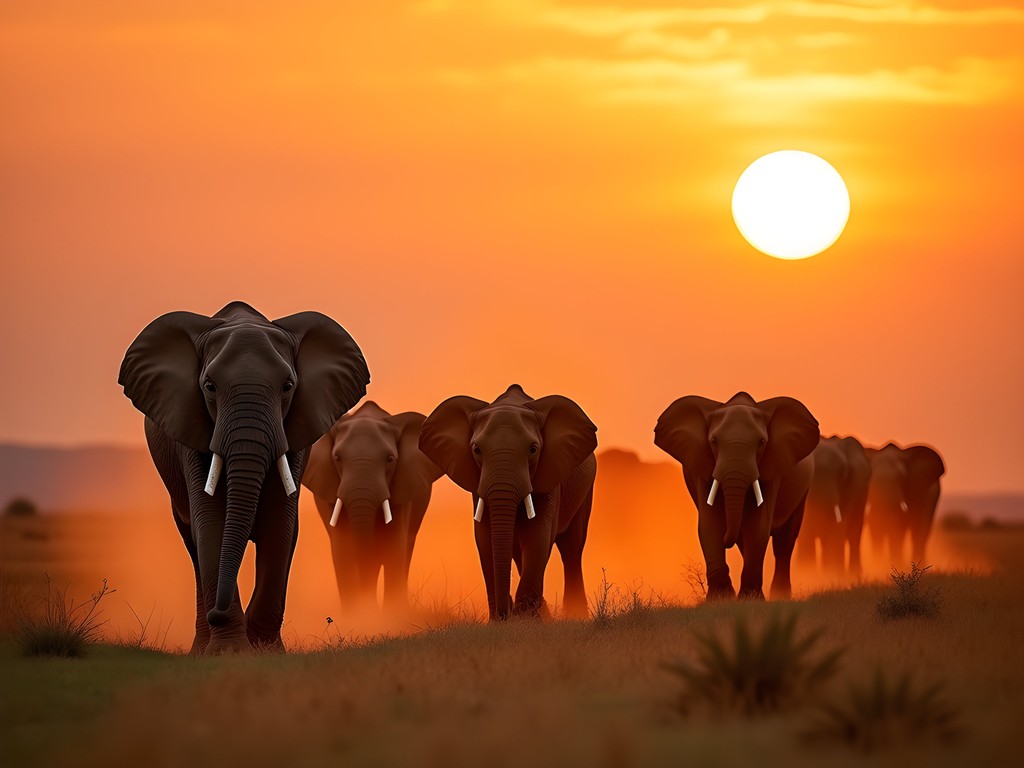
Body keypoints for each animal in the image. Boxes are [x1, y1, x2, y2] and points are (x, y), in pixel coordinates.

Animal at [118, 302, 369, 654]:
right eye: (209, 386)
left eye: (287, 386)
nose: (217, 613)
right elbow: (210, 522)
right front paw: (230, 652)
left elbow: (280, 524)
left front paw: (265, 650)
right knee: (192, 543)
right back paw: (201, 649)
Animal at [302, 401, 442, 616]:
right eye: (337, 458)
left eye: (390, 459)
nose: (368, 607)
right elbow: (343, 547)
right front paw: (356, 617)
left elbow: (393, 545)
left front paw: (389, 617)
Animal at [419, 384, 598, 620]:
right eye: (476, 450)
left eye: (533, 449)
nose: (507, 611)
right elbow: (484, 539)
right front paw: (503, 621)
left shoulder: (550, 472)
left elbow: (538, 535)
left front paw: (527, 621)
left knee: (572, 548)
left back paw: (573, 616)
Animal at [654, 392, 819, 600]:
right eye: (714, 442)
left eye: (762, 442)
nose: (727, 541)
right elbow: (709, 524)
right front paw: (720, 599)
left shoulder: (772, 468)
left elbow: (757, 525)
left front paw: (750, 599)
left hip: (802, 493)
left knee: (784, 541)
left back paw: (780, 596)